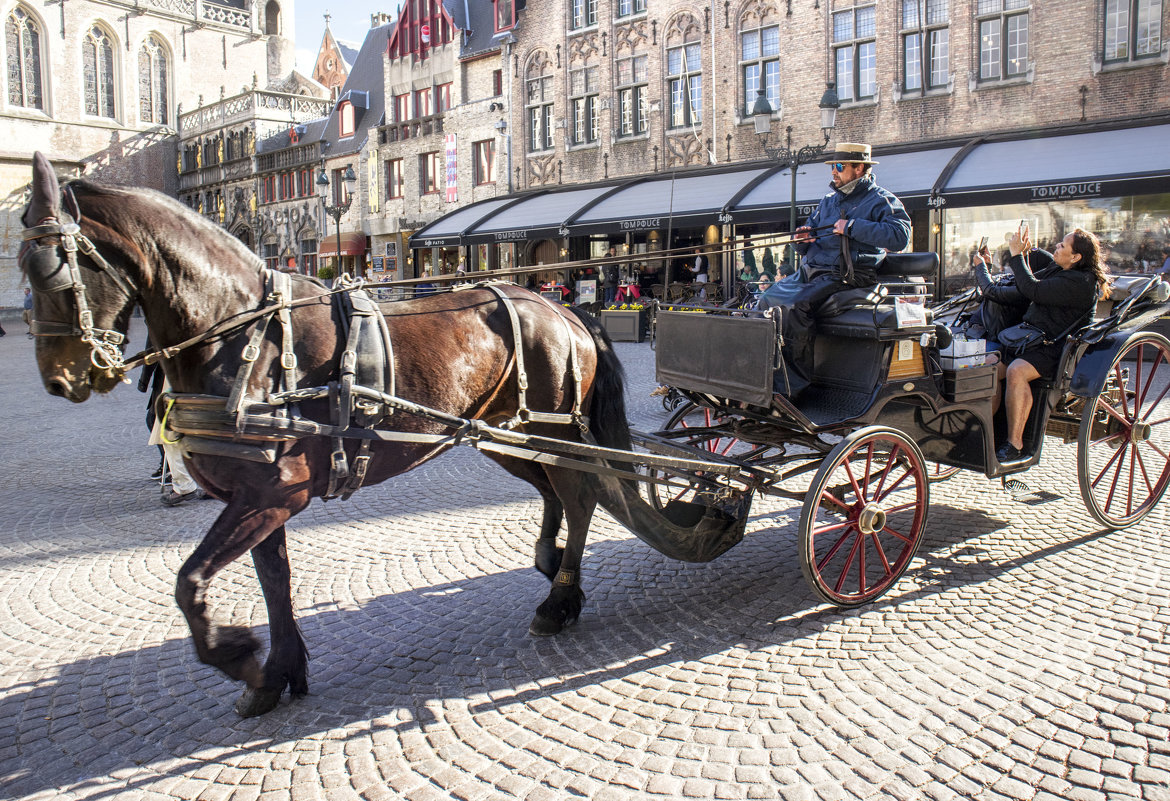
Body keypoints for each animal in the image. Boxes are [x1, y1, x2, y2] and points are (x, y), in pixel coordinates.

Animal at [18, 153, 641, 715]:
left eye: (49, 268)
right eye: (21, 266)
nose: (58, 378)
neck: (240, 336)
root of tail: (562, 308)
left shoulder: (271, 495)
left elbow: (189, 583)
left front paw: (240, 657)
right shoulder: (259, 499)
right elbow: (274, 580)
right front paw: (278, 672)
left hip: (546, 430)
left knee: (580, 497)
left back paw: (560, 599)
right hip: (505, 435)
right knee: (554, 492)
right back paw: (550, 563)